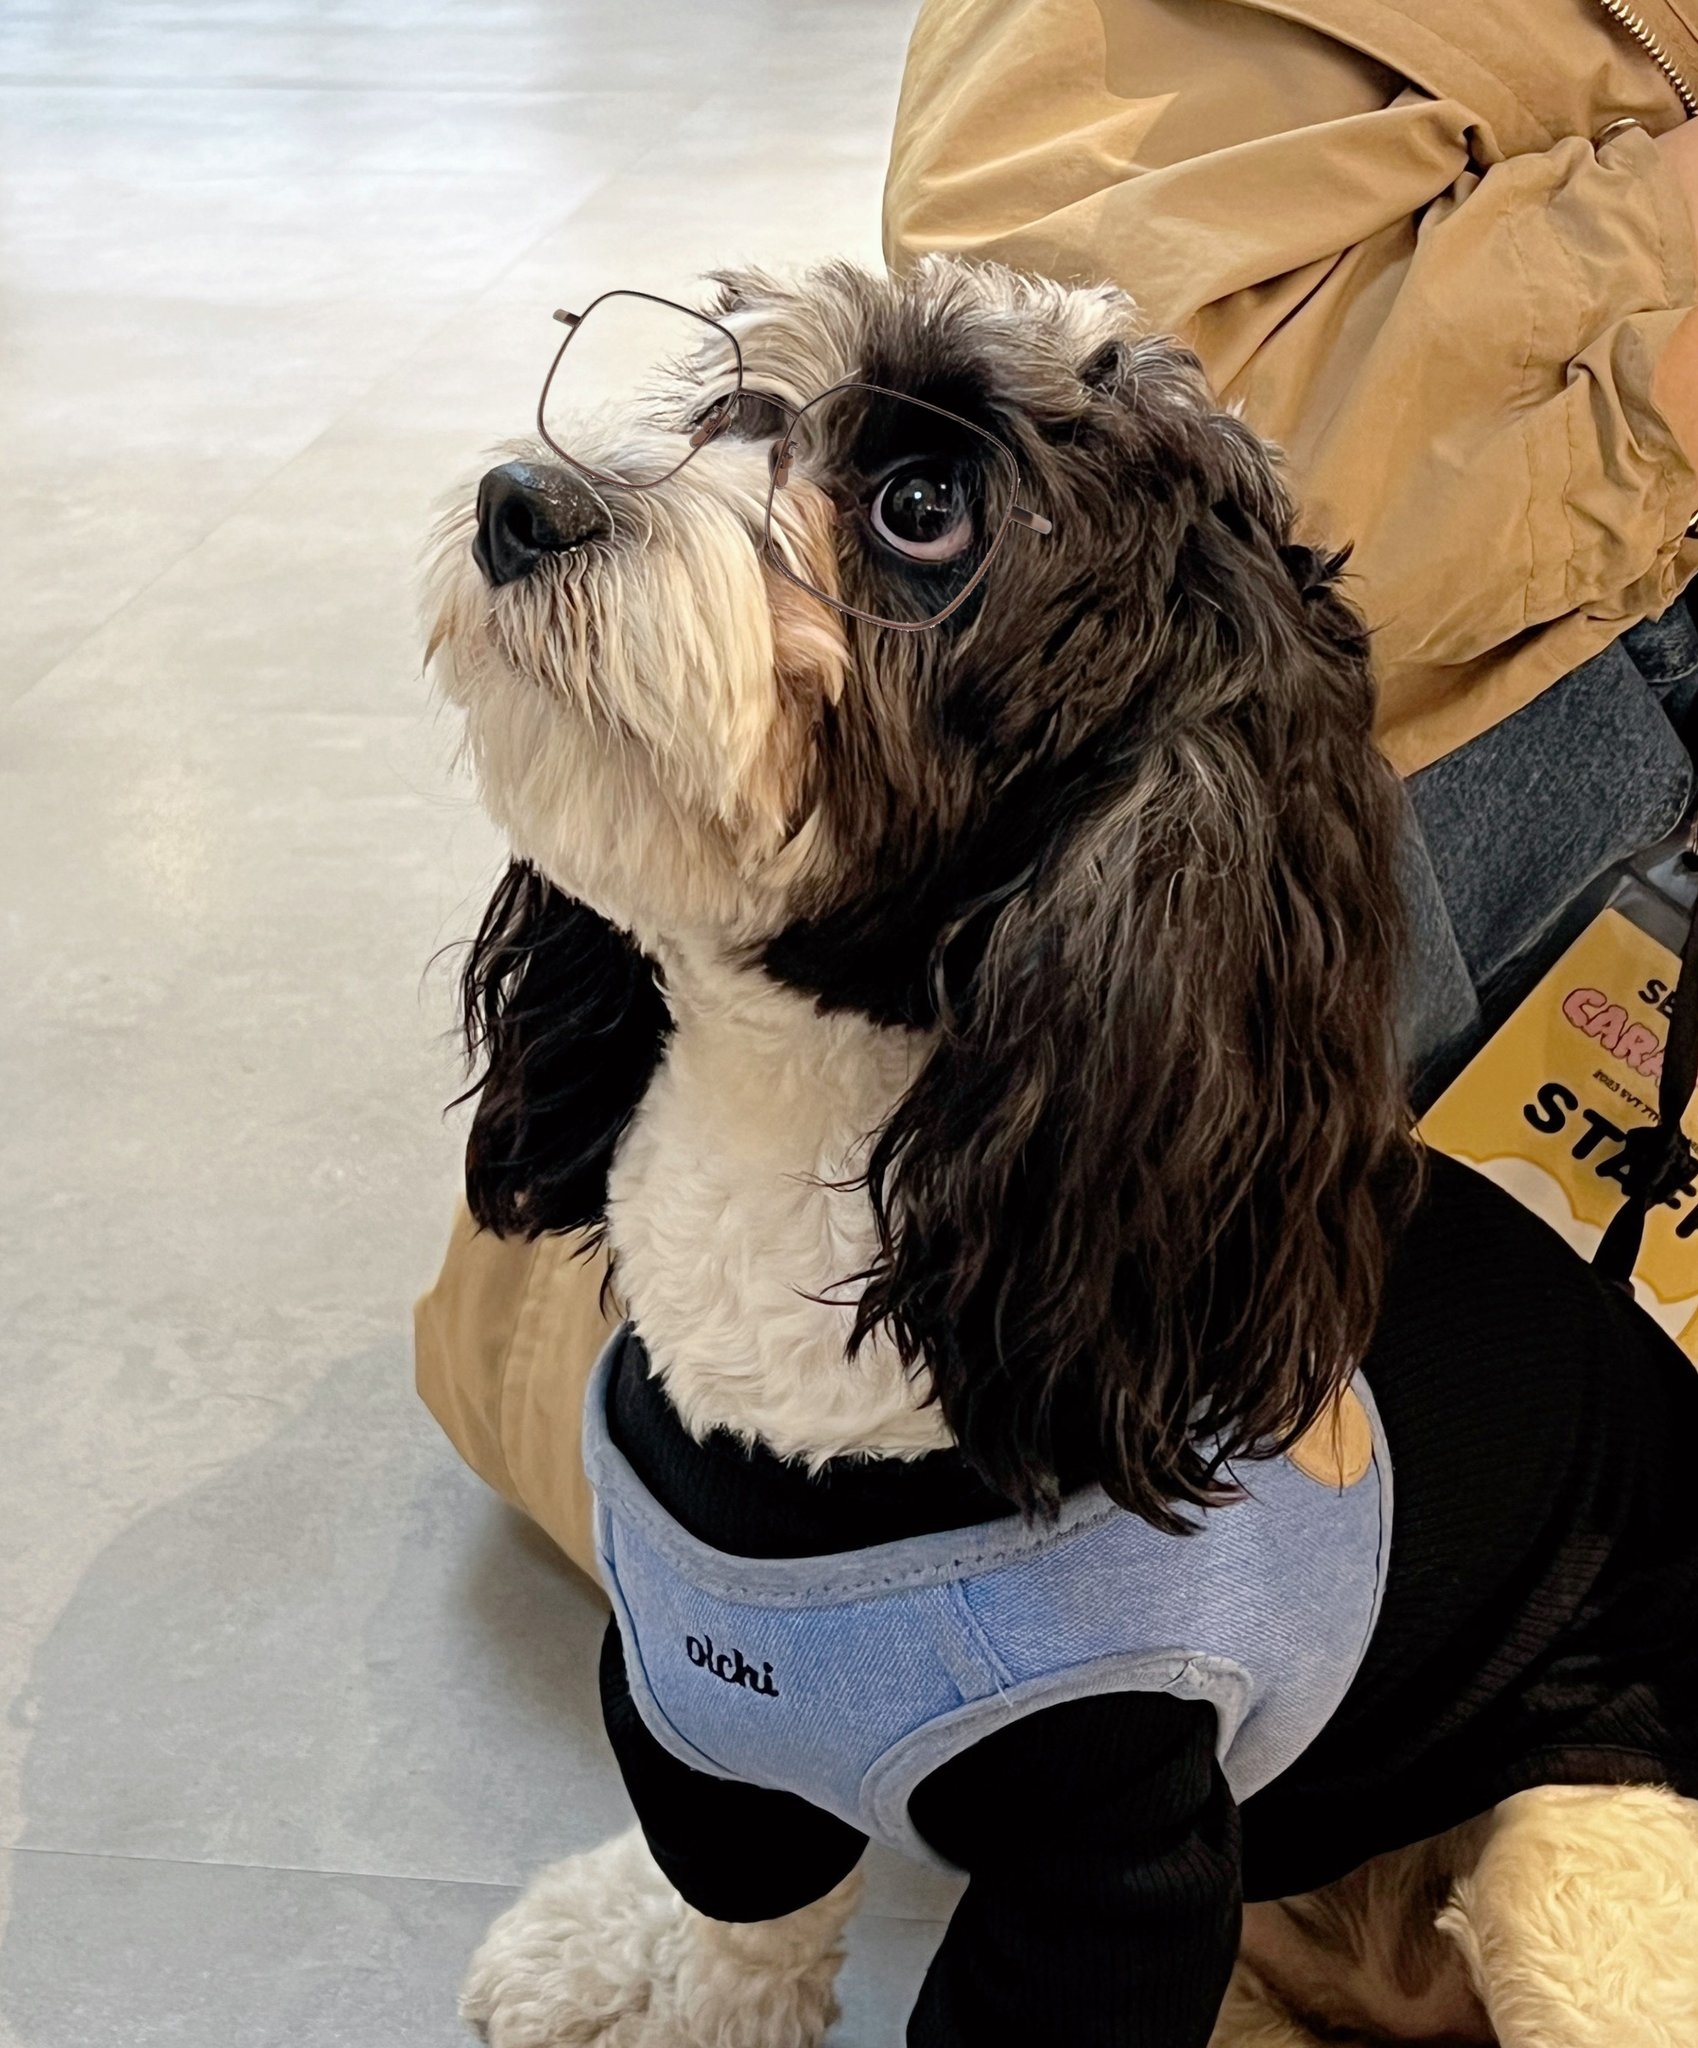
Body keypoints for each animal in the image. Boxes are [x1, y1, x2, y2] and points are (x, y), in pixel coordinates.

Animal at [425, 258, 1698, 2047]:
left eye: (920, 505)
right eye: (732, 406)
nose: (521, 501)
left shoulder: (1115, 1844)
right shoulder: (695, 1713)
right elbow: (744, 1917)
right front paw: (663, 1956)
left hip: (1572, 1853)